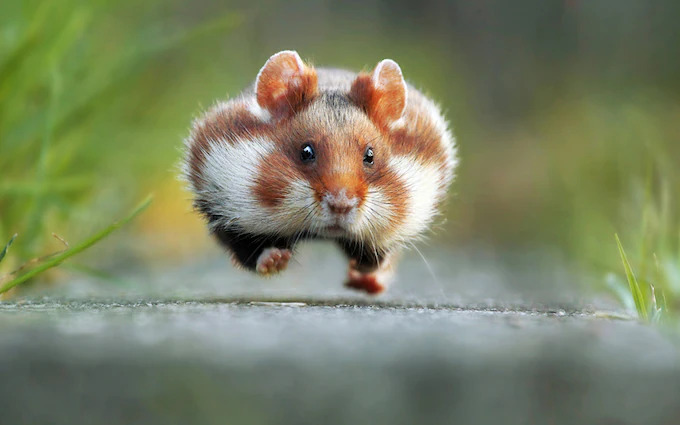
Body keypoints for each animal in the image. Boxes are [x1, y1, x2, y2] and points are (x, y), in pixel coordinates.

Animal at [181, 50, 457, 294]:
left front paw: (362, 268)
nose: (341, 205)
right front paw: (276, 260)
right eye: (306, 152)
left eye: (370, 156)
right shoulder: (225, 209)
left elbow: (376, 255)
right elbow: (249, 251)